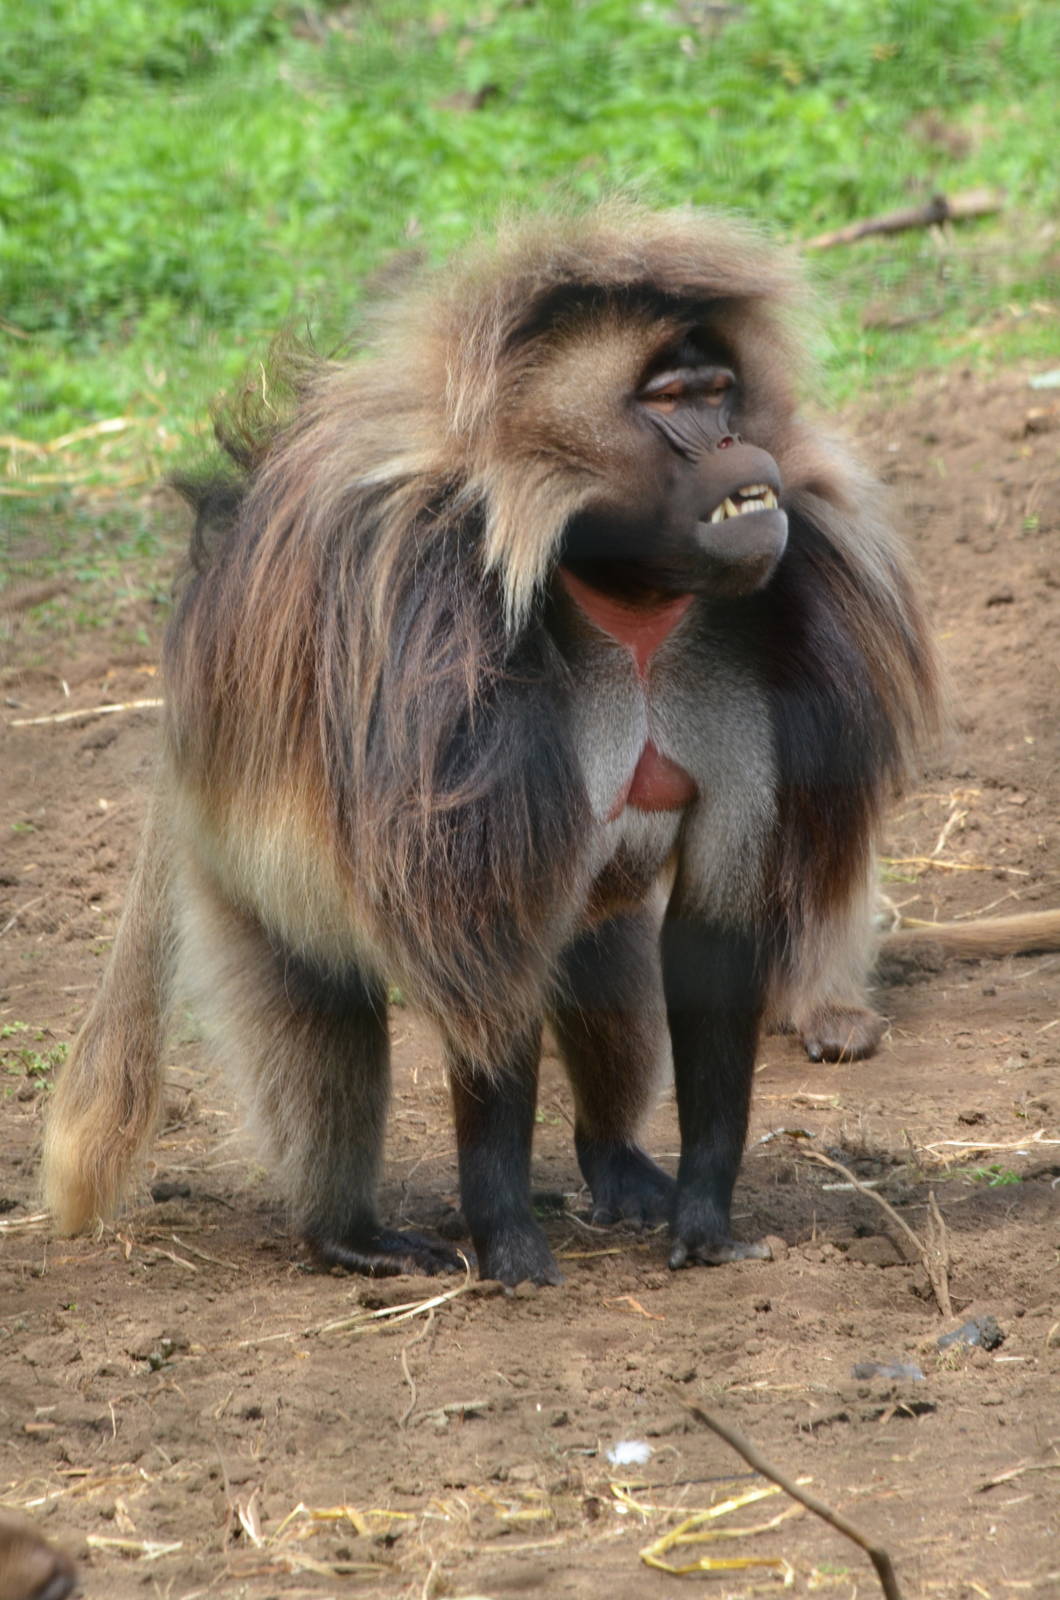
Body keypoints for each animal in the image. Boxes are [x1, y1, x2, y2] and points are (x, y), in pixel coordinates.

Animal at [42, 203, 943, 1287]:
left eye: (720, 388)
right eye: (672, 401)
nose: (734, 441)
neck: (622, 604)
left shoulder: (744, 669)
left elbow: (710, 942)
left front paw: (703, 1218)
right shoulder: (442, 636)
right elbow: (481, 935)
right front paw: (505, 1236)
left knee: (604, 969)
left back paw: (616, 1163)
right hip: (240, 859)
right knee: (325, 1016)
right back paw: (346, 1234)